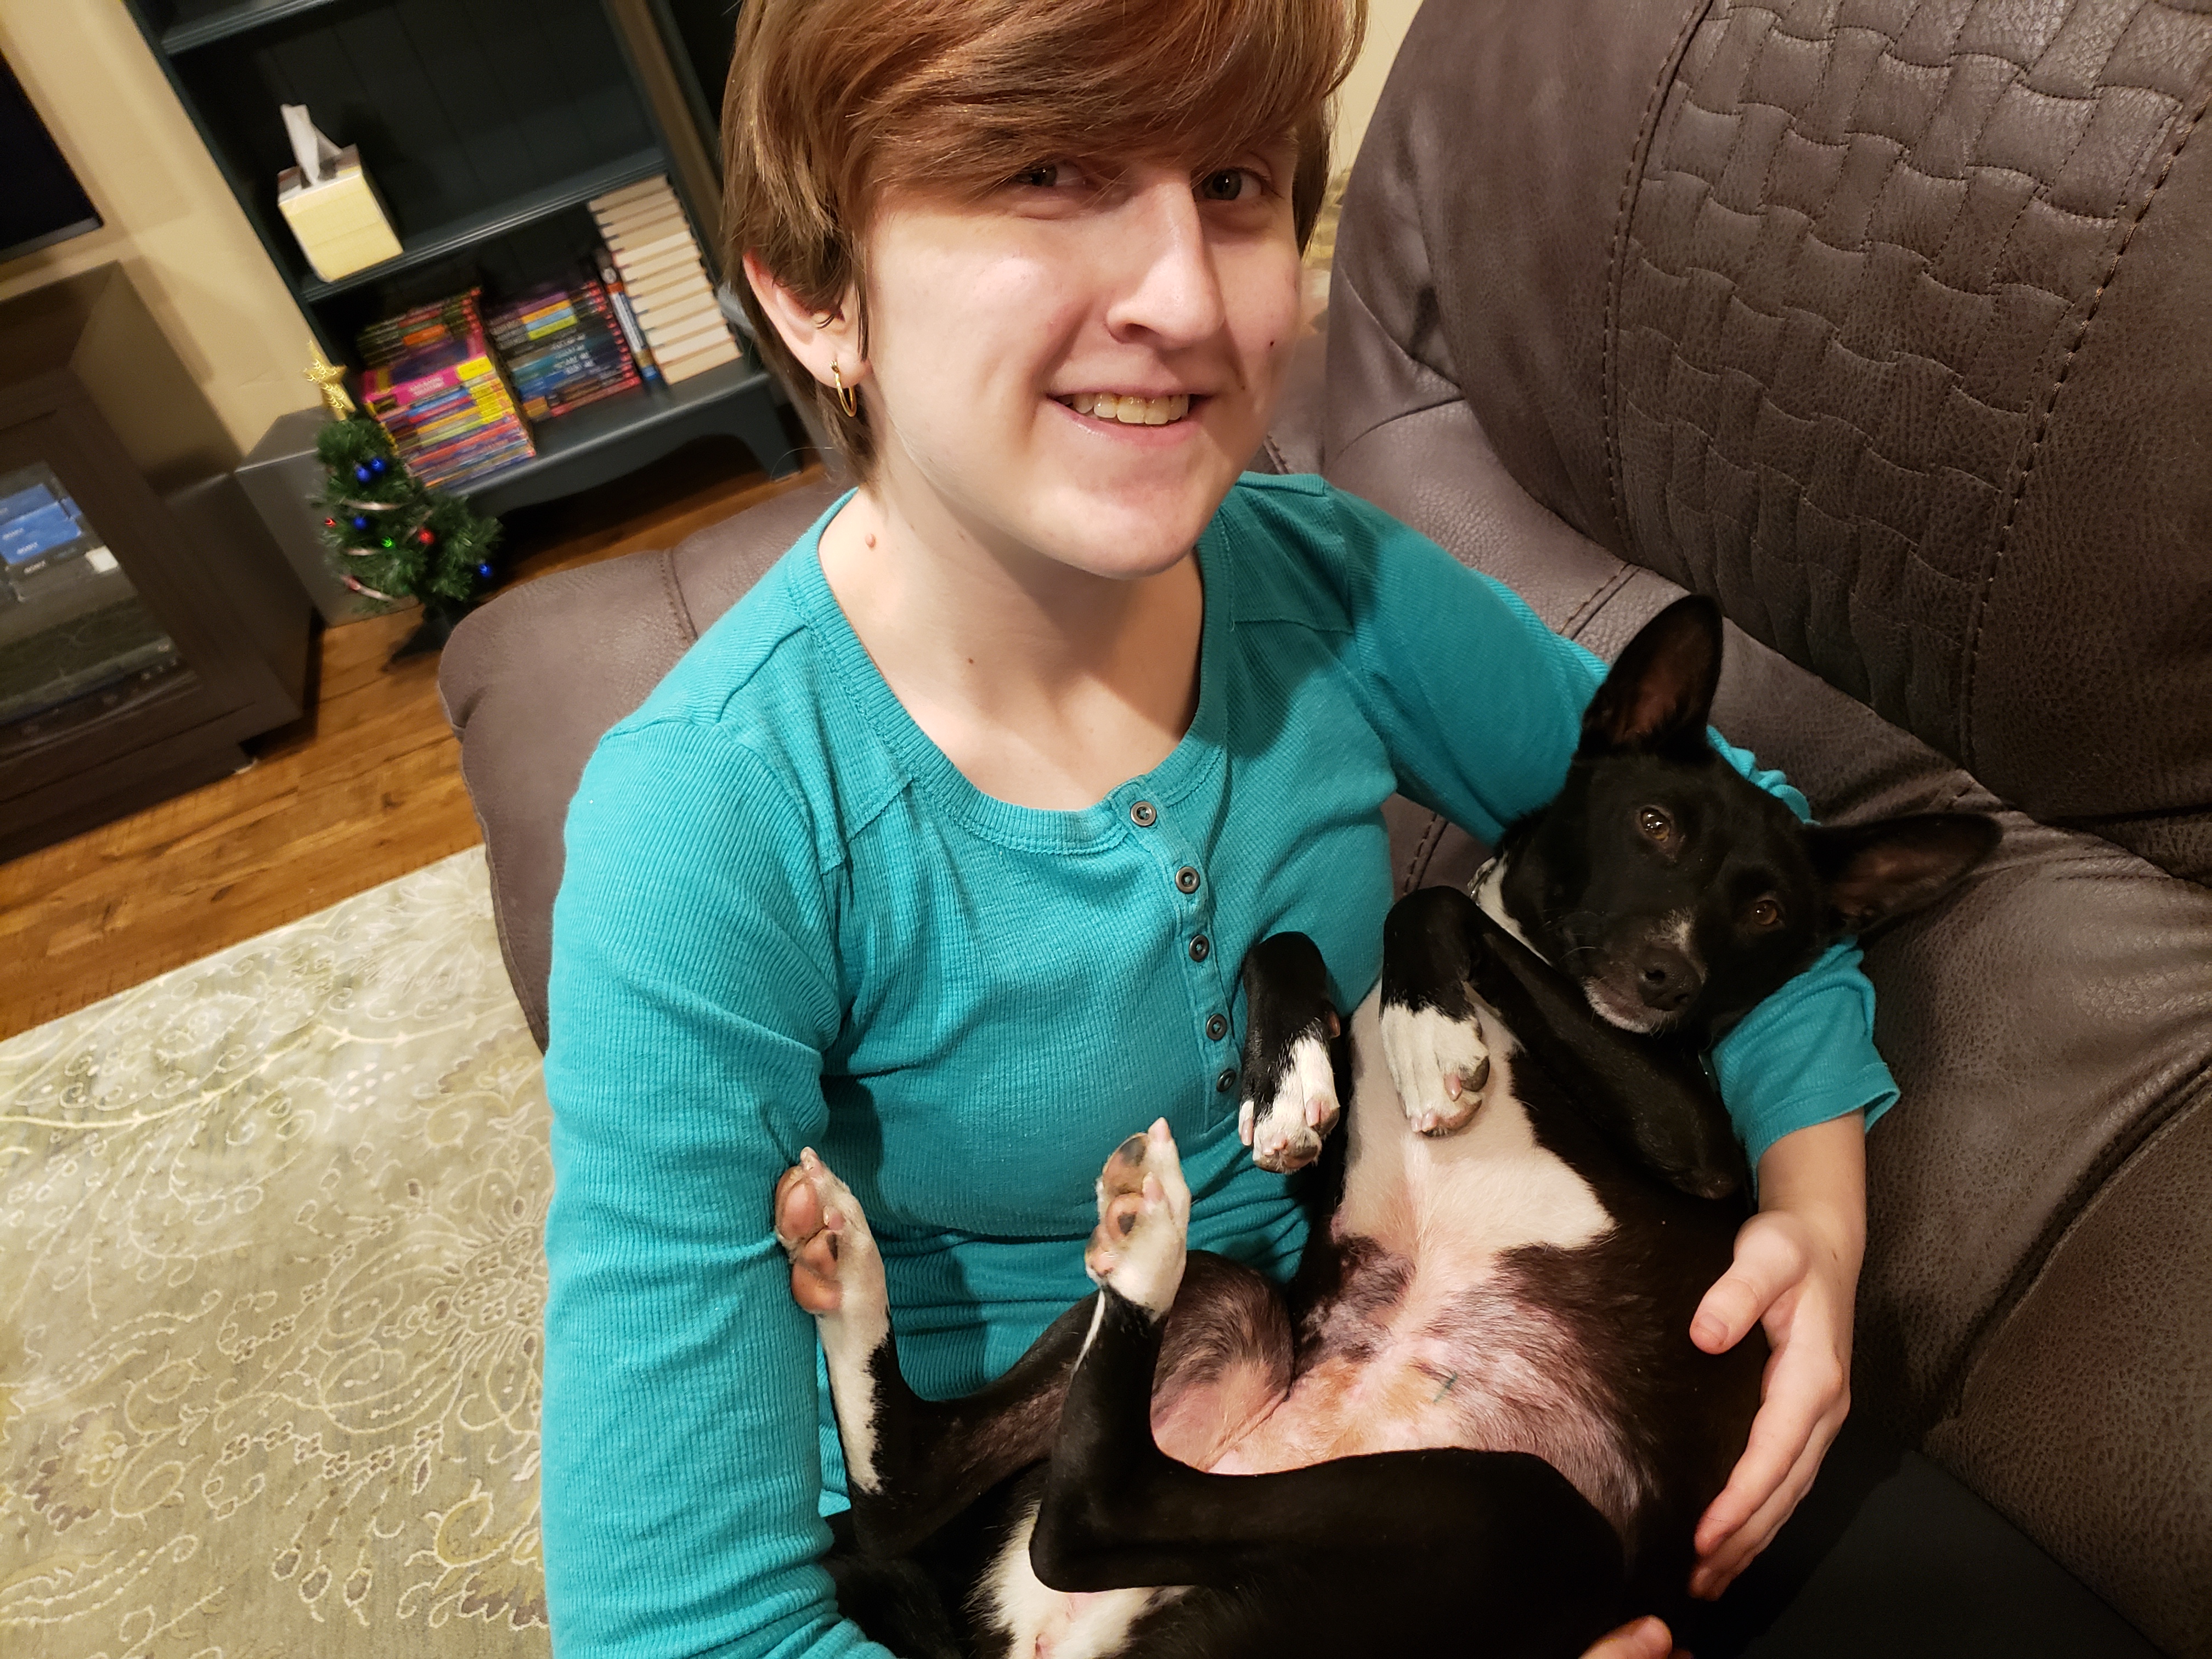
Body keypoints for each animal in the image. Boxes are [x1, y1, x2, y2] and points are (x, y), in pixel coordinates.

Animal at [777, 596, 2000, 1659]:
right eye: (1654, 823)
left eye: (1769, 912)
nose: (1669, 977)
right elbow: (1292, 942)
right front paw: (1297, 1078)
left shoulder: (1694, 1136)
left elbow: (1431, 902)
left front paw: (1425, 1033)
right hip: (1246, 1321)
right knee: (916, 1497)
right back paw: (856, 1262)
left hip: (1514, 1515)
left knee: (1077, 1515)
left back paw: (1132, 1237)